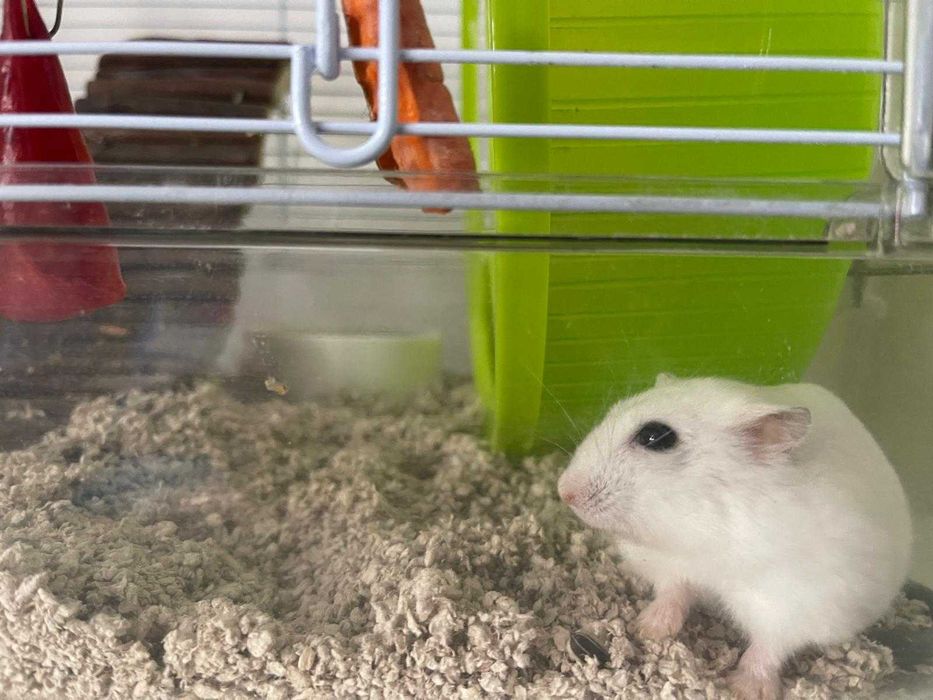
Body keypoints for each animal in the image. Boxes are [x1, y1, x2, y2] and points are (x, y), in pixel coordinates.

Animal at [557, 374, 912, 700]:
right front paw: (646, 629)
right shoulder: (672, 565)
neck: (703, 533)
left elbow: (769, 647)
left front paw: (744, 689)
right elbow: (673, 593)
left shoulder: (795, 604)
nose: (564, 491)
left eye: (654, 436)